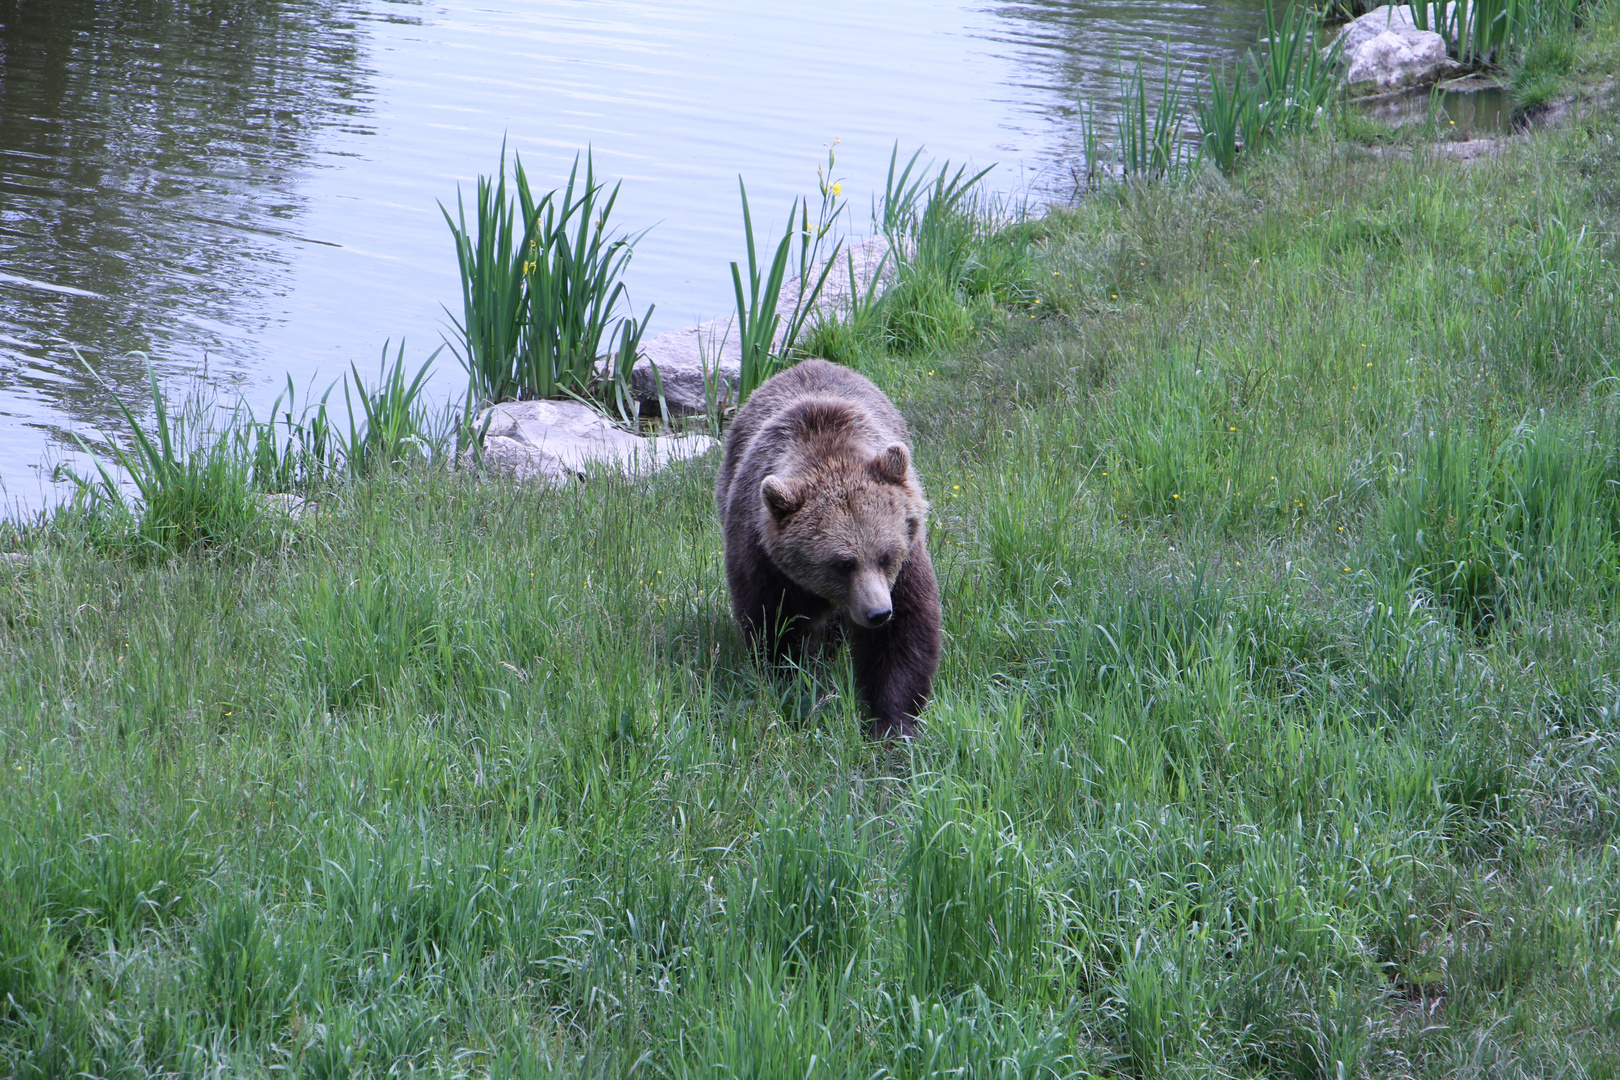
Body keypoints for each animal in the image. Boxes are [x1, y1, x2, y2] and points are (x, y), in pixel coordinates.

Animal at [716, 359, 946, 738]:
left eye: (886, 556)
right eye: (842, 563)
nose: (877, 613)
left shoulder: (907, 558)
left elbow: (904, 636)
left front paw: (892, 722)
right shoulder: (765, 560)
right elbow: (776, 628)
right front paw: (793, 688)